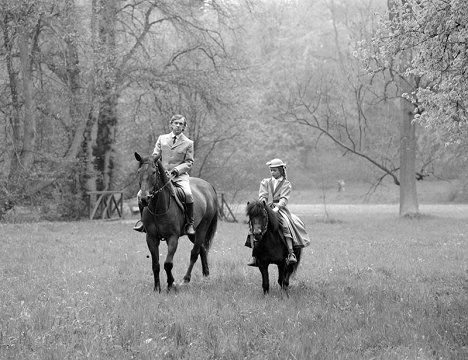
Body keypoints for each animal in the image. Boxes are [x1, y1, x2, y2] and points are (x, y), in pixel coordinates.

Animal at [133, 152, 218, 292]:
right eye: (139, 171)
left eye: (154, 172)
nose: (144, 198)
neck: (158, 207)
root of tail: (208, 185)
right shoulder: (151, 238)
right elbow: (155, 264)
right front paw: (157, 288)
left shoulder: (172, 238)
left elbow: (168, 264)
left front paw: (170, 285)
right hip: (193, 234)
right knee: (202, 249)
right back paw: (206, 274)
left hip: (202, 229)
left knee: (194, 253)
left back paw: (186, 279)